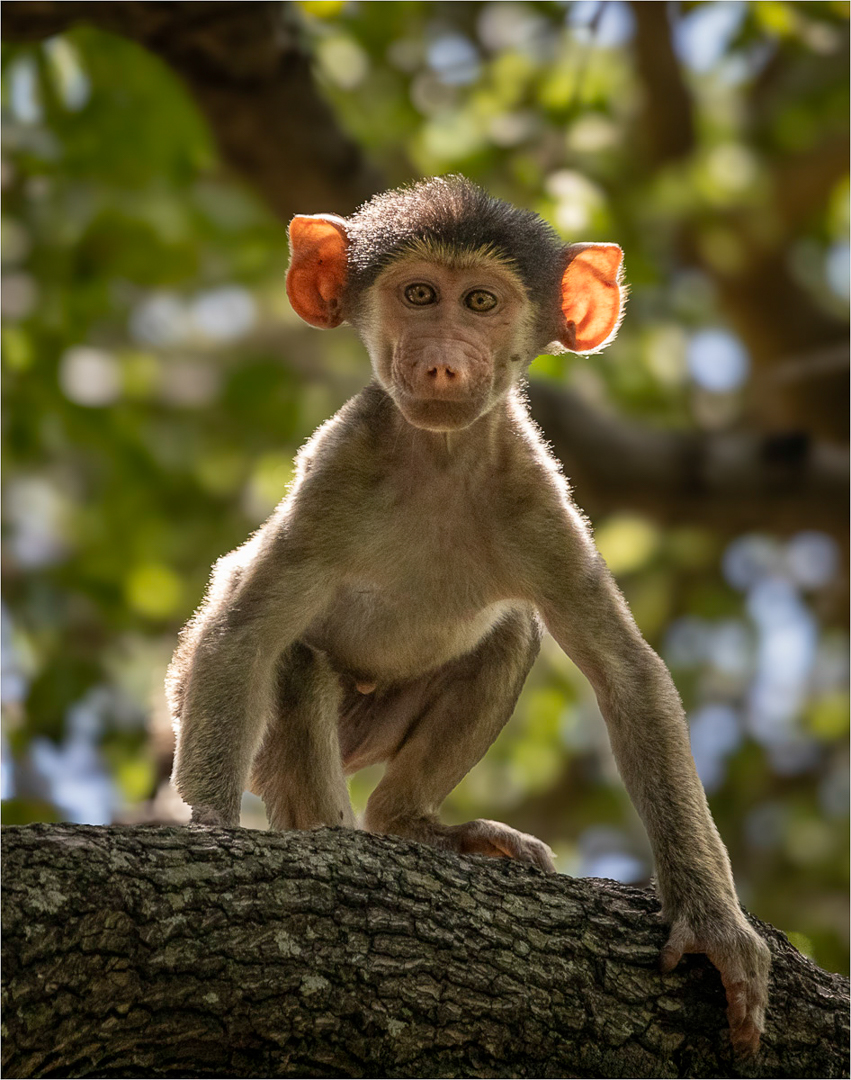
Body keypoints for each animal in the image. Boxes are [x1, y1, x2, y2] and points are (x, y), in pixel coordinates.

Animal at [168, 175, 770, 1055]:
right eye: (418, 295)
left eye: (481, 302)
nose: (443, 360)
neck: (441, 461)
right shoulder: (340, 471)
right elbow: (244, 633)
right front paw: (208, 826)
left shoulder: (534, 493)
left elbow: (628, 678)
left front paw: (712, 921)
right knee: (296, 663)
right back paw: (336, 836)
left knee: (508, 632)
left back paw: (411, 824)